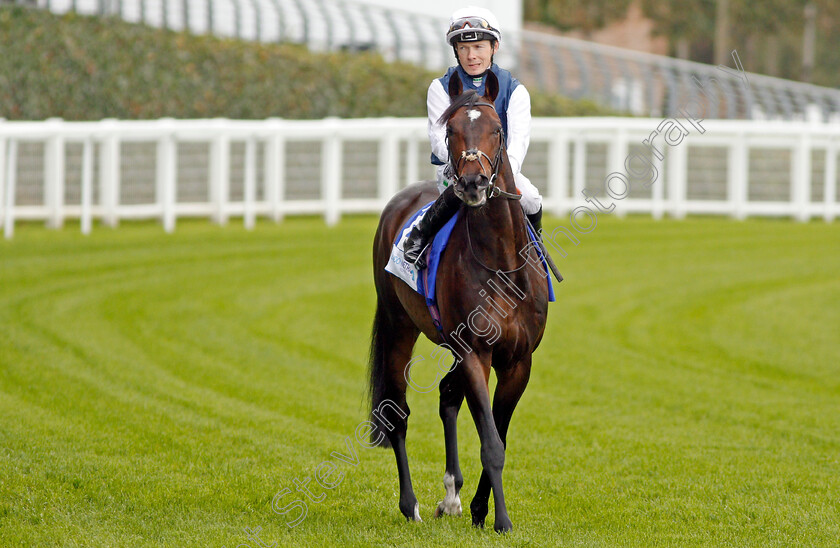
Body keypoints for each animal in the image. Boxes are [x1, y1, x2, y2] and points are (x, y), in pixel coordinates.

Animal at [368, 70, 552, 532]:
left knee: (447, 397)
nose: (472, 184)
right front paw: (500, 519)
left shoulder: (518, 361)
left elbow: (498, 434)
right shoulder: (475, 352)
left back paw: (451, 495)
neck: (501, 262)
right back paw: (410, 505)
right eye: (450, 131)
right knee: (397, 412)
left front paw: (479, 509)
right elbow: (491, 442)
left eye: (498, 129)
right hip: (399, 326)